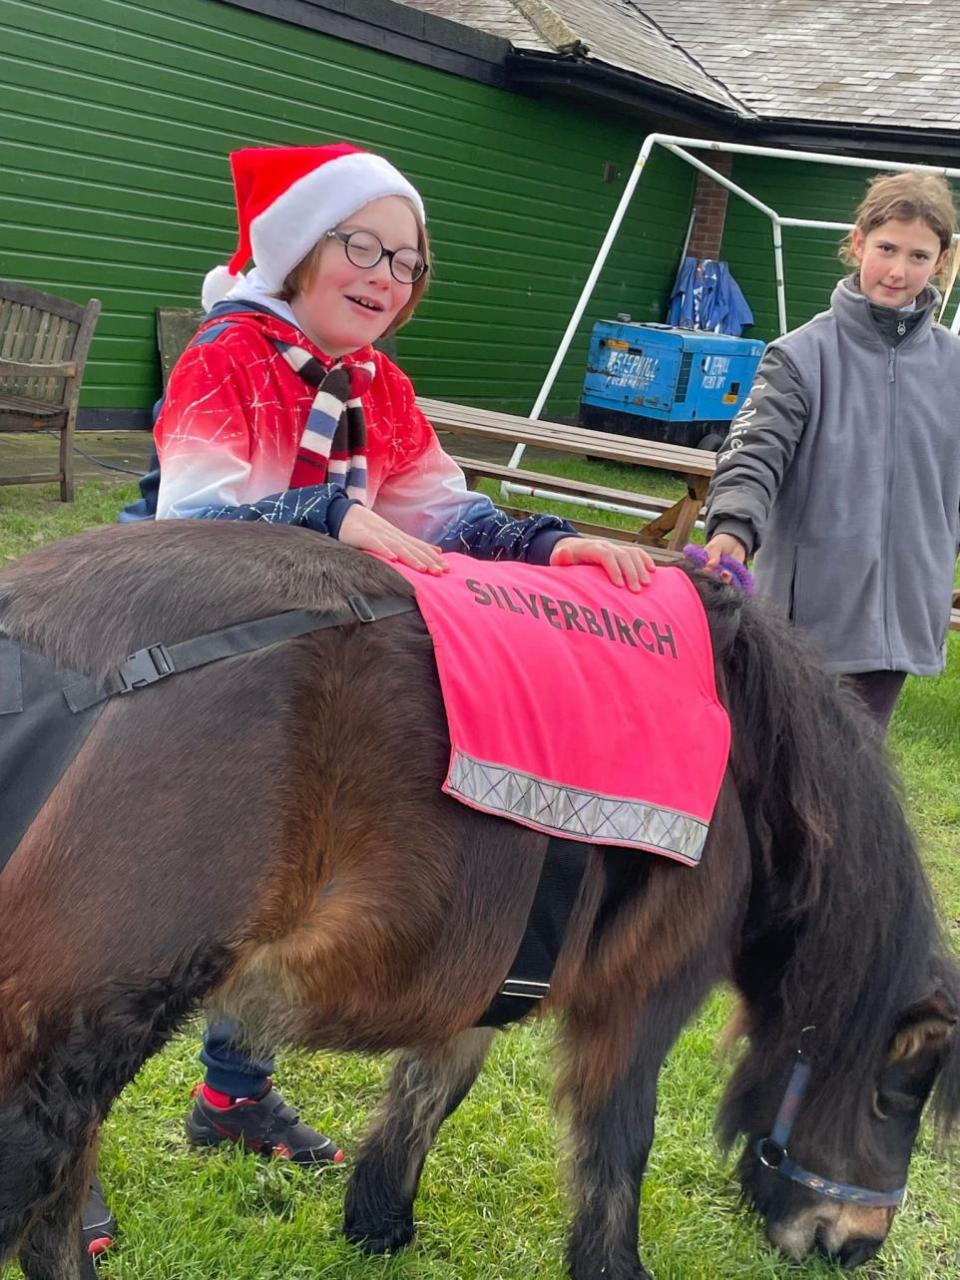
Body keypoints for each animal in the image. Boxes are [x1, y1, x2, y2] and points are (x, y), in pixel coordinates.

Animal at [1, 522, 960, 1280]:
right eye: (893, 1096)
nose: (854, 1243)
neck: (745, 741)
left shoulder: (482, 968)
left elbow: (430, 1090)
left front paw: (379, 1221)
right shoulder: (639, 999)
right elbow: (620, 1144)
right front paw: (613, 1268)